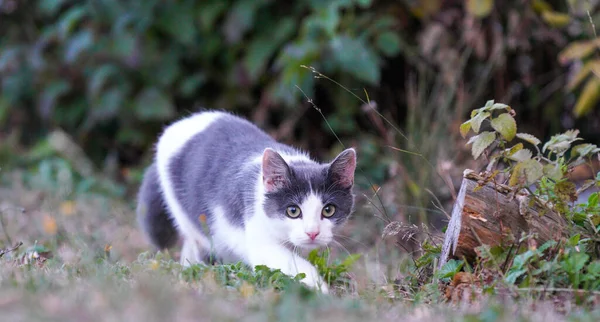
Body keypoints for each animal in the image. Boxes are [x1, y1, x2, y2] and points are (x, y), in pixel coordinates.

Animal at [136, 109, 356, 294]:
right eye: (293, 211)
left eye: (328, 210)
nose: (312, 233)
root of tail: (176, 126)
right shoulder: (257, 231)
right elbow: (286, 261)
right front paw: (320, 288)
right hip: (185, 211)